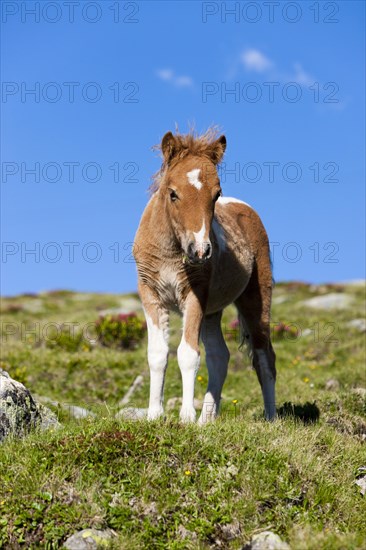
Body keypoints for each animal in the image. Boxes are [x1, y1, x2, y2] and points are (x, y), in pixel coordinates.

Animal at [133, 132, 276, 424]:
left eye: (216, 194)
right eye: (173, 193)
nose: (200, 250)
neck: (170, 251)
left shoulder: (194, 294)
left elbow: (188, 354)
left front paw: (186, 417)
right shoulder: (150, 293)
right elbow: (157, 354)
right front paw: (154, 415)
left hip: (256, 297)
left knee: (264, 355)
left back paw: (271, 418)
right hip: (213, 310)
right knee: (220, 356)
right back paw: (206, 420)